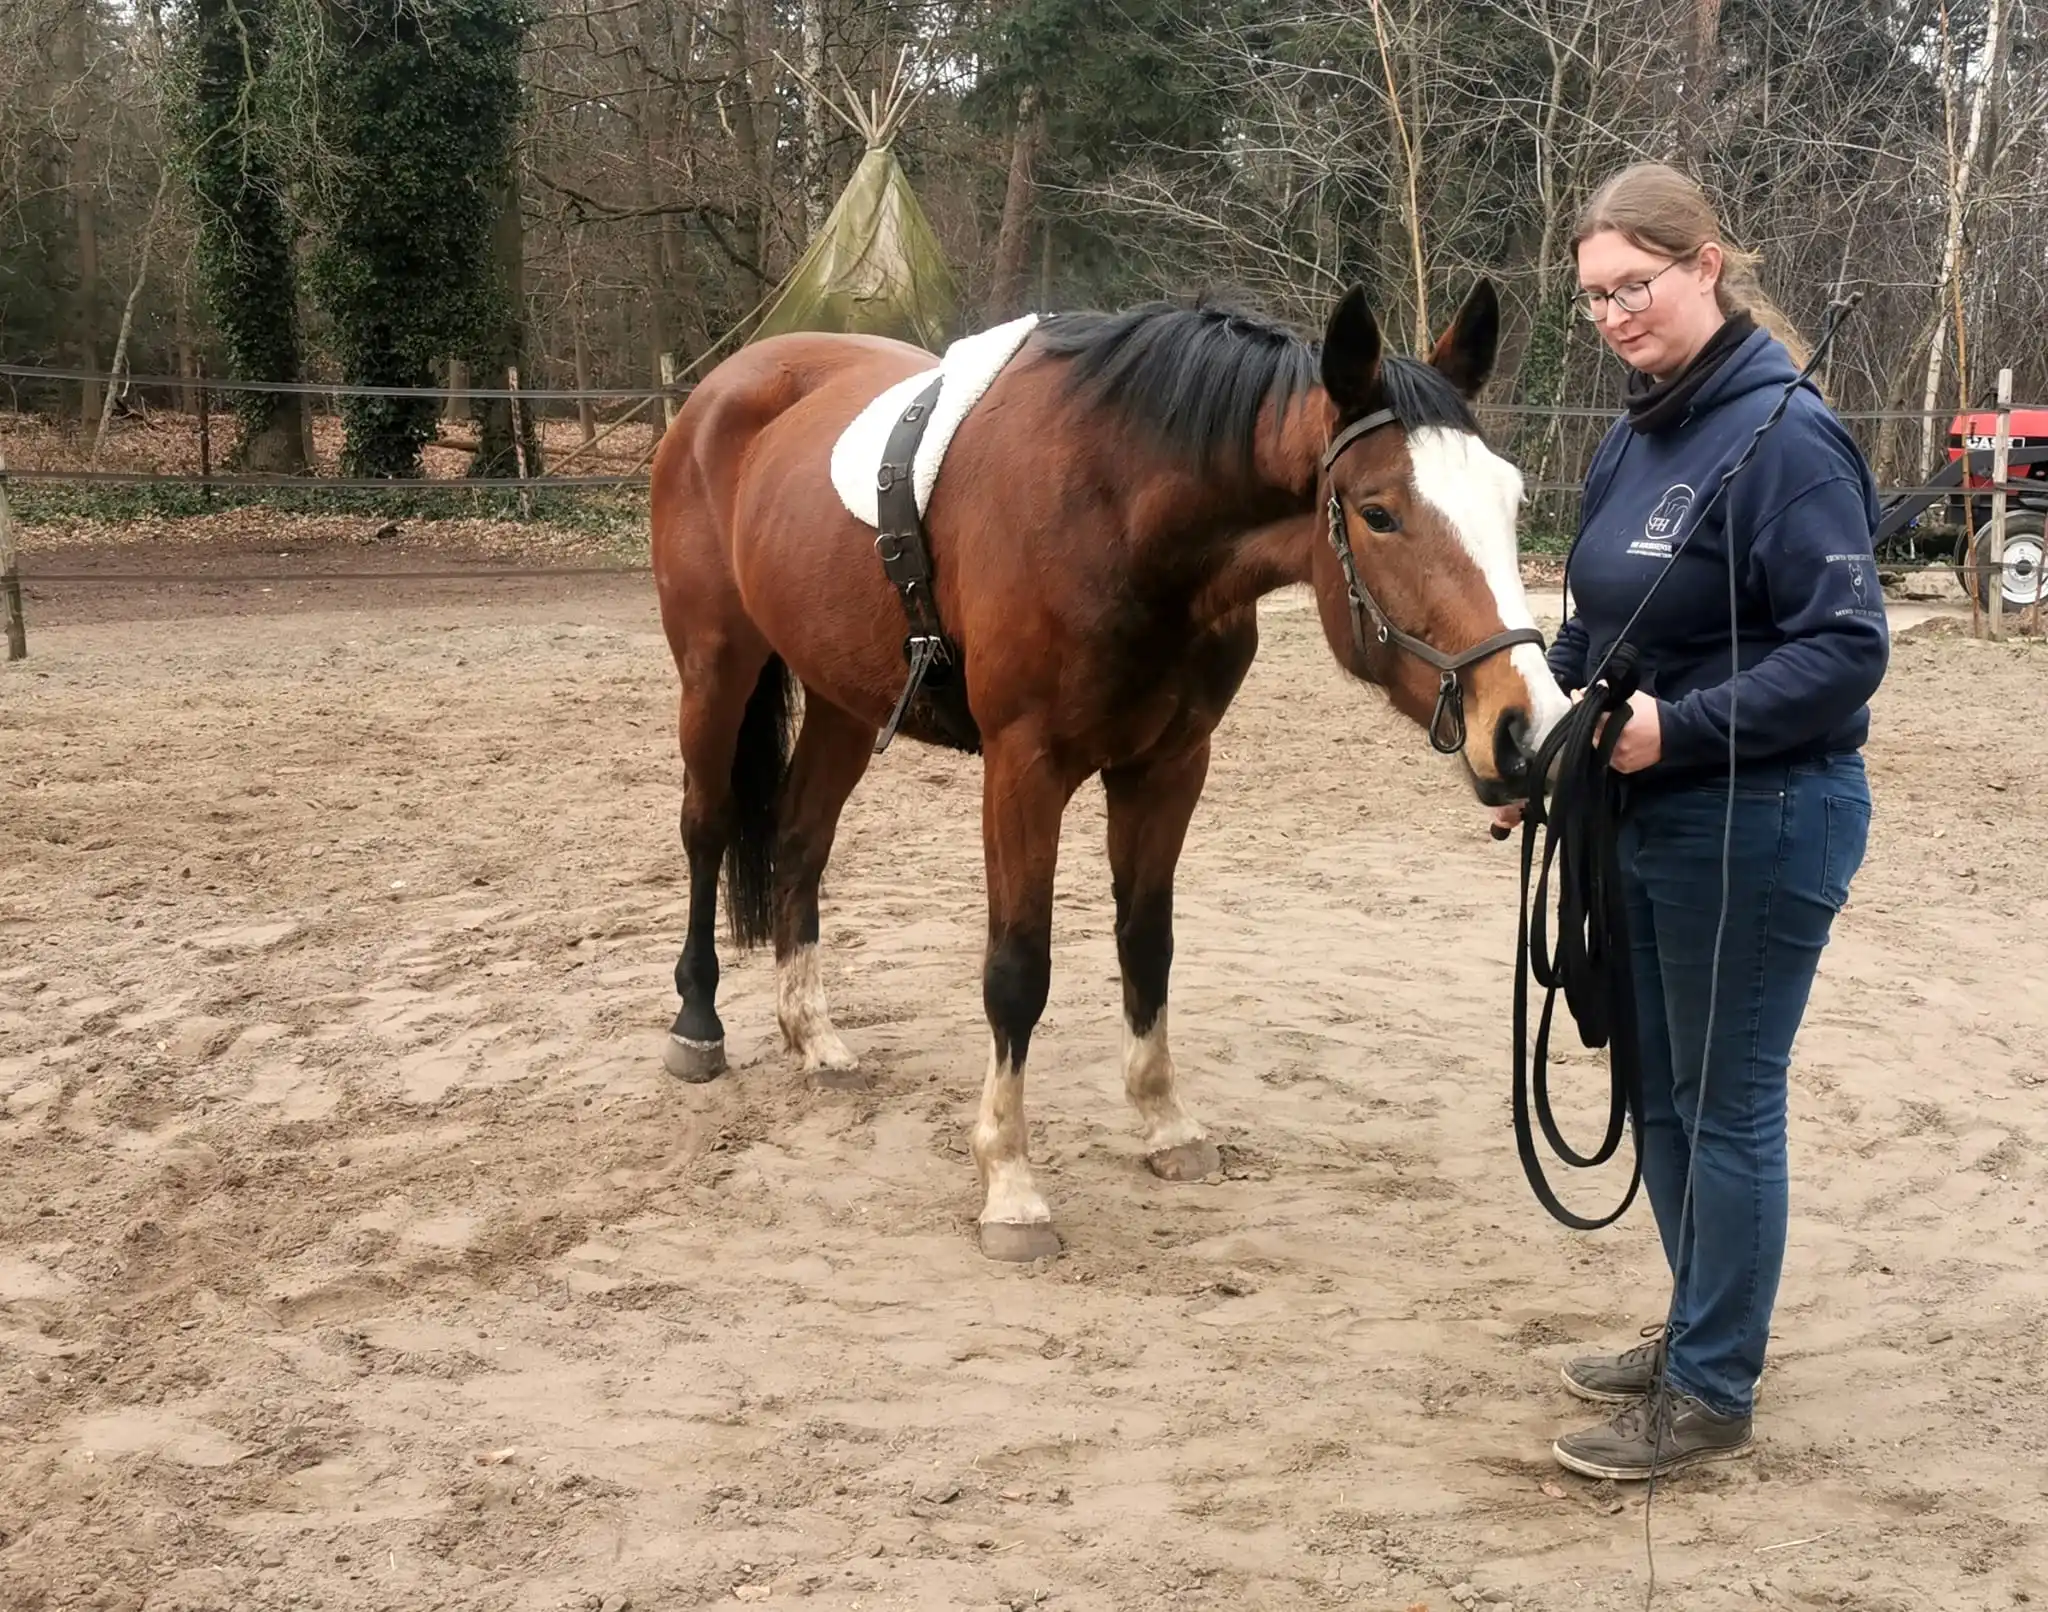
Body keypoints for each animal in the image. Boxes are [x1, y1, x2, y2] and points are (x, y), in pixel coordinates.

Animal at [648, 279, 1570, 1261]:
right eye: (1380, 512)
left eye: (1511, 500)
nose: (1530, 731)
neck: (1118, 513)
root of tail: (721, 389)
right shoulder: (1024, 767)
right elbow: (1018, 971)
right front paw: (1010, 1184)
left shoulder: (1169, 766)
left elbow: (1147, 944)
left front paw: (1166, 1125)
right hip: (716, 668)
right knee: (706, 828)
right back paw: (697, 1025)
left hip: (844, 699)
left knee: (799, 838)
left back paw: (812, 1036)